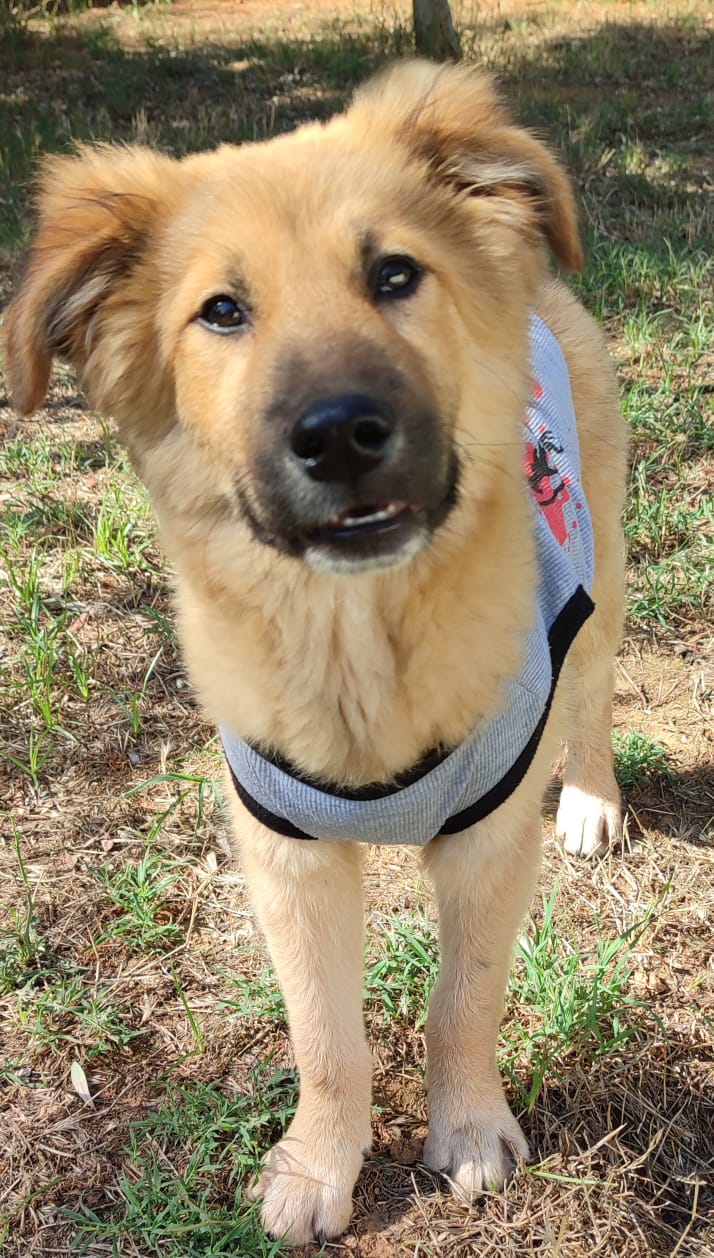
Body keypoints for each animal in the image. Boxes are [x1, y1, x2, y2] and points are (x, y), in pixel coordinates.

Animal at [4, 61, 627, 1245]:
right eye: (222, 311)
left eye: (395, 273)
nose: (340, 433)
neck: (357, 647)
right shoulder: (287, 856)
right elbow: (326, 1037)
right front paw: (316, 1166)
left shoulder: (488, 841)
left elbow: (464, 1001)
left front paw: (468, 1130)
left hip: (600, 569)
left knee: (595, 694)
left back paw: (594, 799)